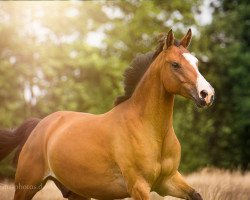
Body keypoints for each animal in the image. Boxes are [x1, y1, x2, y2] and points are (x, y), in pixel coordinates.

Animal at [0, 28, 215, 200]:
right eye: (175, 64)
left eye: (196, 62)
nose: (207, 94)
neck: (152, 131)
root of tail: (40, 125)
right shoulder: (139, 187)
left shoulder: (168, 181)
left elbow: (196, 195)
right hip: (27, 186)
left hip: (76, 192)